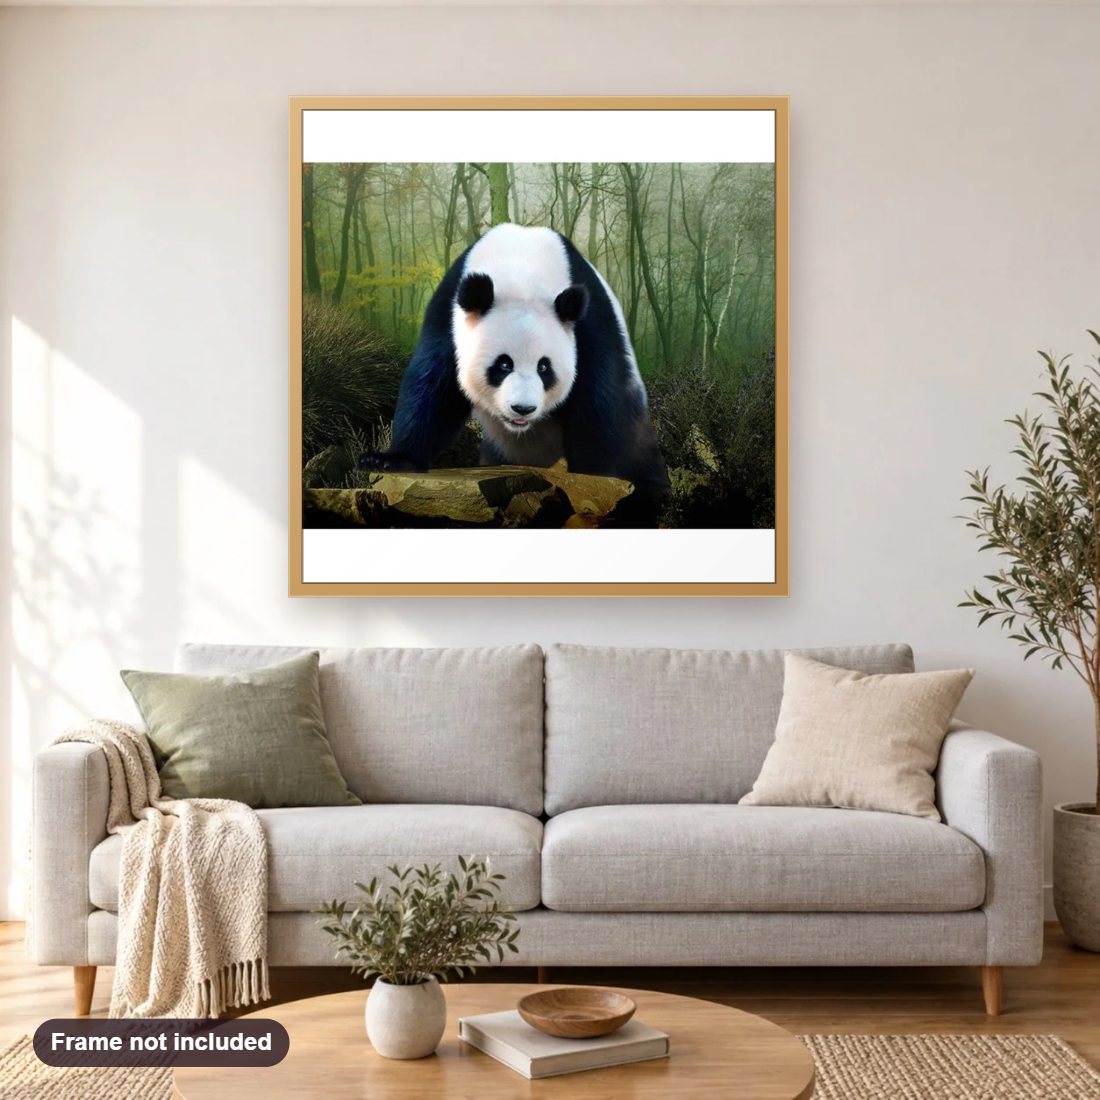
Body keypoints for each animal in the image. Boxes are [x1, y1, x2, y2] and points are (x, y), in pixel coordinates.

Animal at [359, 223, 670, 508]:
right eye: (503, 364)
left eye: (544, 367)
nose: (523, 409)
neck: (521, 268)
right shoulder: (448, 315)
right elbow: (433, 387)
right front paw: (388, 460)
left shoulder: (590, 325)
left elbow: (600, 400)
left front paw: (599, 480)